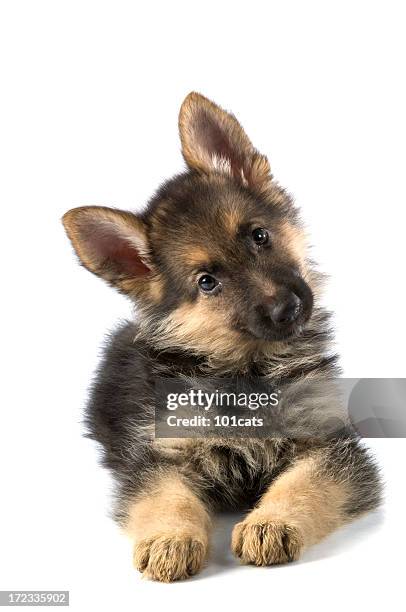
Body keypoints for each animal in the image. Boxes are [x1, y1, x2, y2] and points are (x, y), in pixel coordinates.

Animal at [62, 92, 380, 584]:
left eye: (259, 235)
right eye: (207, 282)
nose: (288, 309)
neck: (246, 371)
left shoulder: (332, 449)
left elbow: (303, 485)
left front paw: (270, 523)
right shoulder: (159, 457)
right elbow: (167, 497)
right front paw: (170, 538)